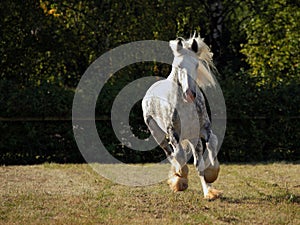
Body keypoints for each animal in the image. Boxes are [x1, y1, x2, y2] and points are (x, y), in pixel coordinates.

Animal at [142, 34, 221, 200]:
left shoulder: (202, 130)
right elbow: (179, 155)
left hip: (193, 139)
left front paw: (211, 179)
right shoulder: (173, 133)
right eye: (179, 66)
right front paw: (180, 178)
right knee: (169, 152)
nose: (190, 94)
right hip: (157, 133)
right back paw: (179, 179)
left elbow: (212, 143)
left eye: (196, 65)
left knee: (197, 161)